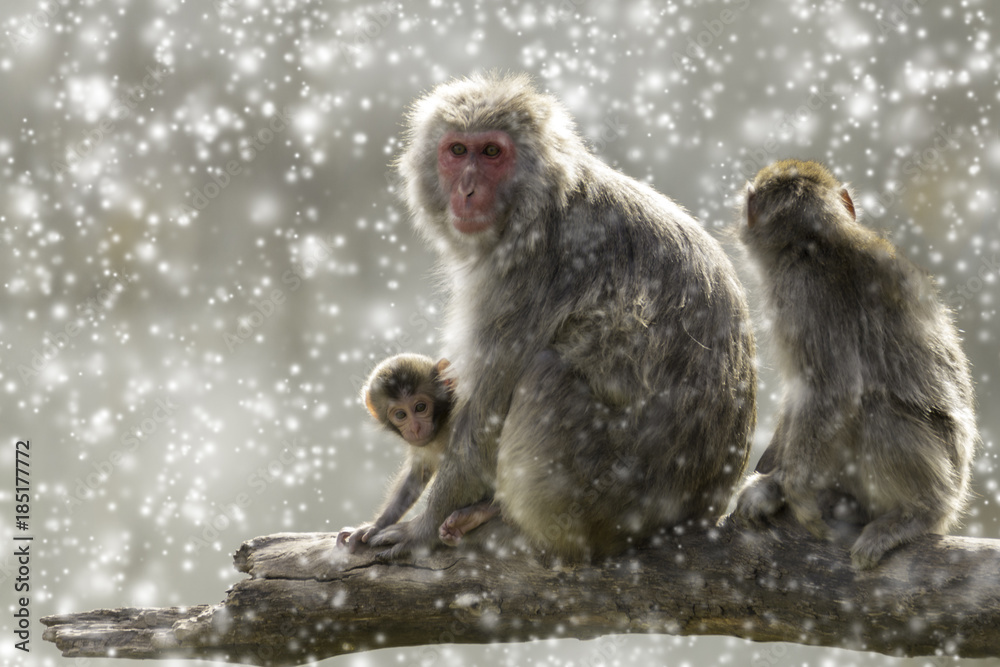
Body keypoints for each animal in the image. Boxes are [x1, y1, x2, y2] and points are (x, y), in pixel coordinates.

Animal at [337, 353, 499, 551]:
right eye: (401, 415)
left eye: (420, 407)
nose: (415, 428)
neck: (441, 424)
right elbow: (416, 476)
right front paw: (376, 525)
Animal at [358, 72, 757, 561]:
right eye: (457, 150)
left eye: (491, 152)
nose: (466, 190)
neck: (538, 205)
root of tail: (697, 513)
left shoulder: (526, 273)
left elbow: (486, 411)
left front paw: (422, 529)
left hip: (603, 500)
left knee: (545, 372)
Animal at [731, 159, 978, 569]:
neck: (815, 242)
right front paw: (776, 481)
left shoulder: (801, 295)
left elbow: (831, 390)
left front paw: (793, 489)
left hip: (944, 480)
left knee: (875, 412)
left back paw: (915, 515)